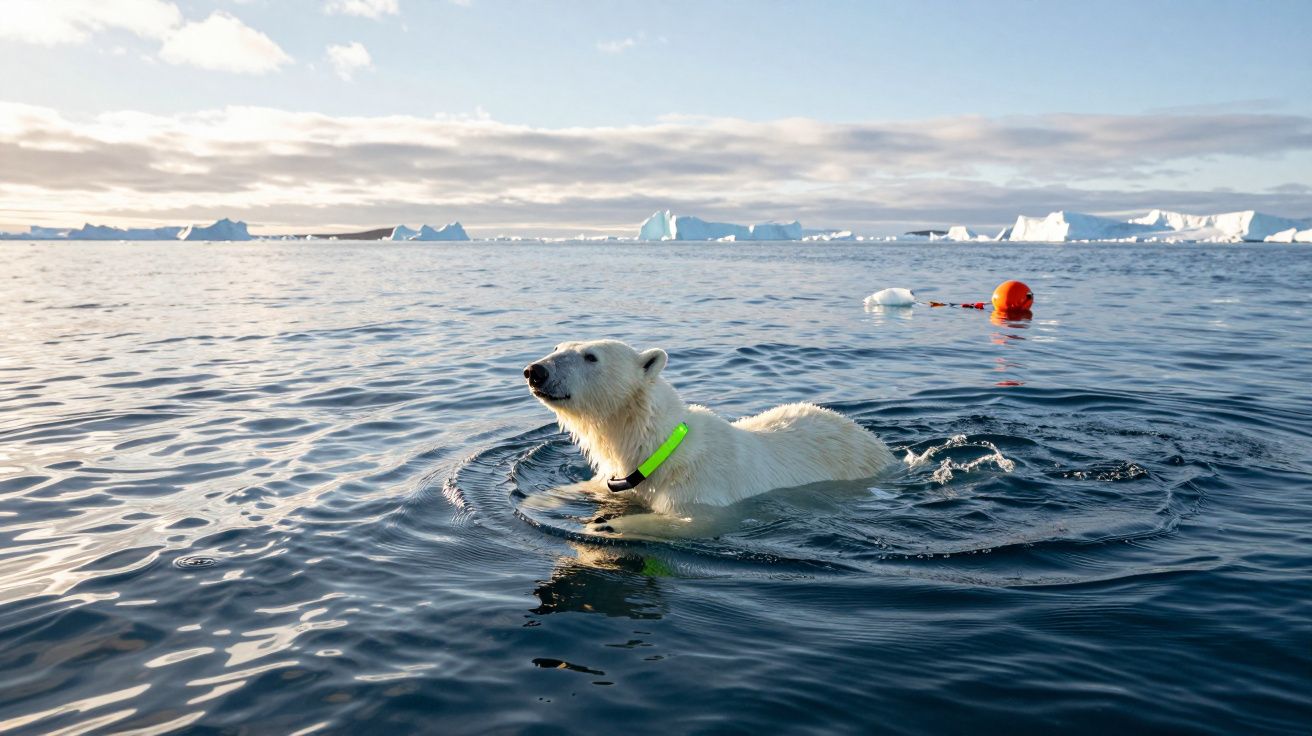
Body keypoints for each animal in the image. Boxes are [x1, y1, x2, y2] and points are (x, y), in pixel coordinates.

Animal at [523, 339, 893, 535]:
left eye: (590, 356)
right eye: (557, 346)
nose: (535, 370)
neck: (657, 448)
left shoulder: (702, 490)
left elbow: (690, 523)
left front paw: (605, 527)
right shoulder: (621, 479)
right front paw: (534, 501)